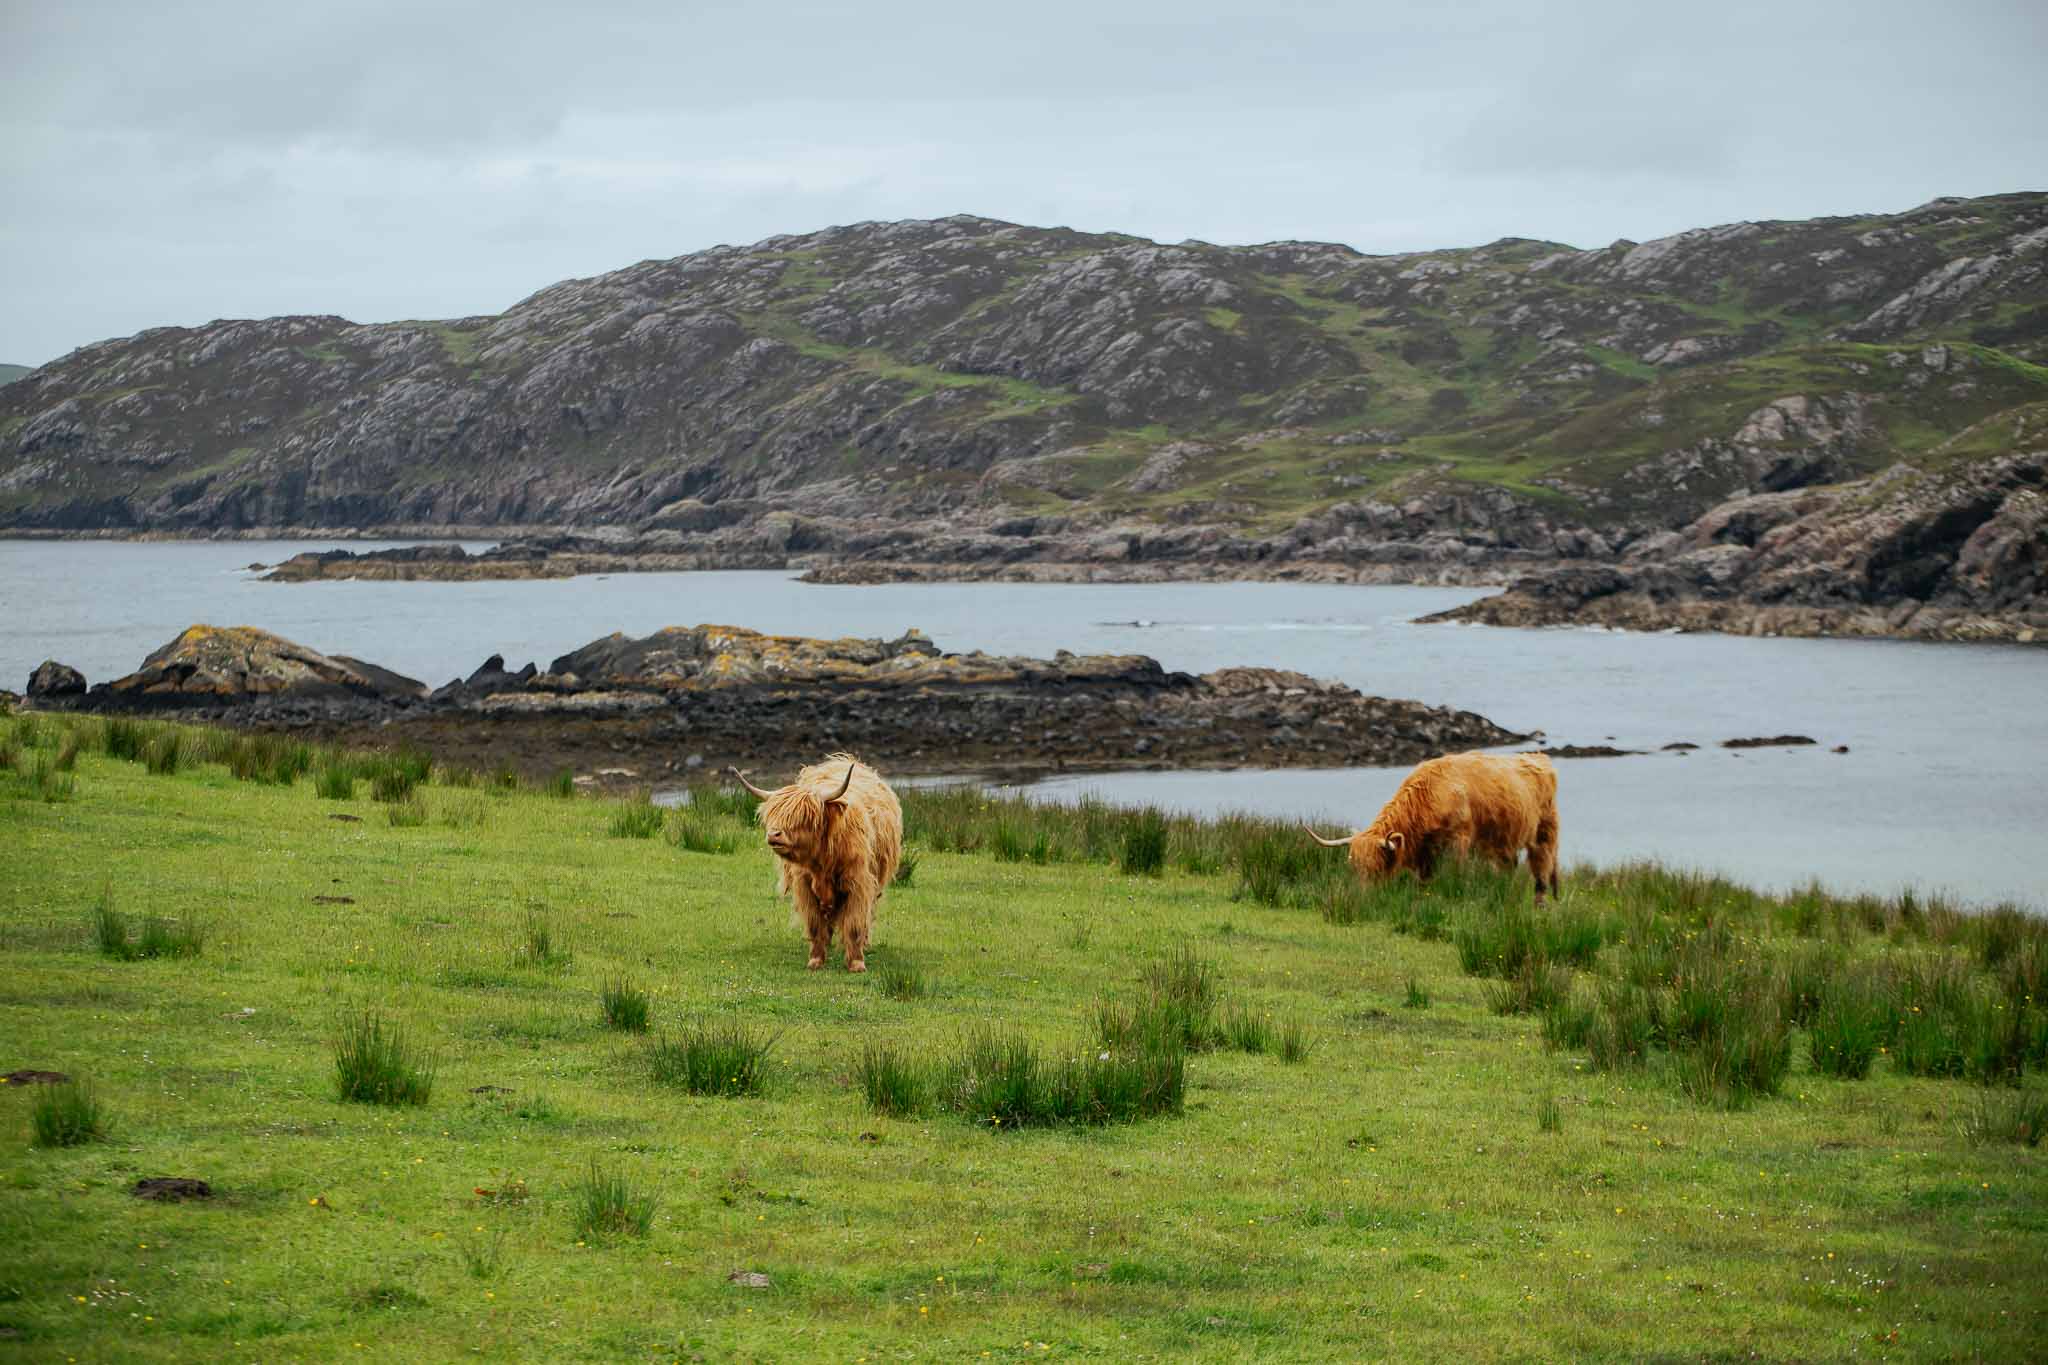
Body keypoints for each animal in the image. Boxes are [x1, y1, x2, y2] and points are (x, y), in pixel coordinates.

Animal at [729, 754, 903, 972]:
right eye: (774, 815)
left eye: (804, 817)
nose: (774, 834)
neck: (822, 862)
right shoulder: (804, 885)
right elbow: (814, 924)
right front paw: (816, 960)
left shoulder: (858, 883)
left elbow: (854, 923)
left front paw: (856, 963)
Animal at [1304, 751, 1560, 903]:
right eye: (1354, 867)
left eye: (1376, 868)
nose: (1361, 896)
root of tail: (1538, 757)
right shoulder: (1425, 854)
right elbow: (1423, 882)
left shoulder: (1459, 840)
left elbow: (1456, 874)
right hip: (1503, 841)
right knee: (1509, 867)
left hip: (1544, 831)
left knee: (1542, 869)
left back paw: (1540, 905)